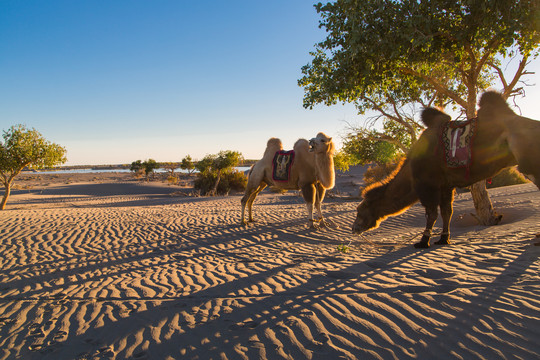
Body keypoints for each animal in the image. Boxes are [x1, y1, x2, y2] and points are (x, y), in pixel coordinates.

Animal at [350, 90, 540, 248]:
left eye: (360, 210)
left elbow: (432, 214)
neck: (410, 174)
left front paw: (423, 241)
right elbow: (447, 212)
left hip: (528, 161)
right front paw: (443, 239)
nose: (354, 228)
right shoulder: (446, 185)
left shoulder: (428, 185)